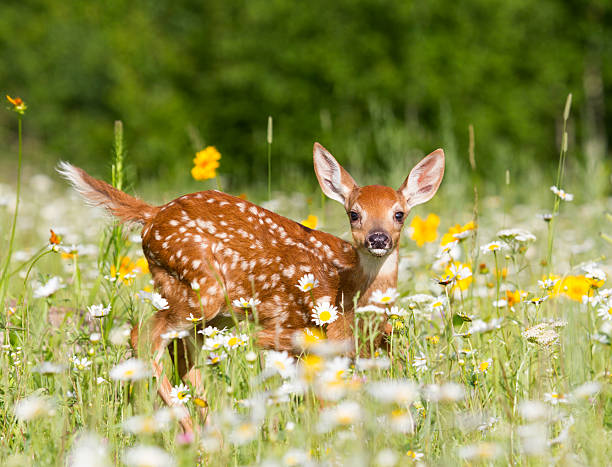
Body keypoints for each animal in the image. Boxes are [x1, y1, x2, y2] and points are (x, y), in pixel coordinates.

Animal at [58, 143, 444, 432]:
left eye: (399, 214)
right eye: (354, 213)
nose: (378, 239)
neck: (346, 291)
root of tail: (153, 214)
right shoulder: (296, 337)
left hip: (205, 309)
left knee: (180, 352)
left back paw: (211, 431)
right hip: (201, 288)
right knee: (143, 336)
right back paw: (191, 429)